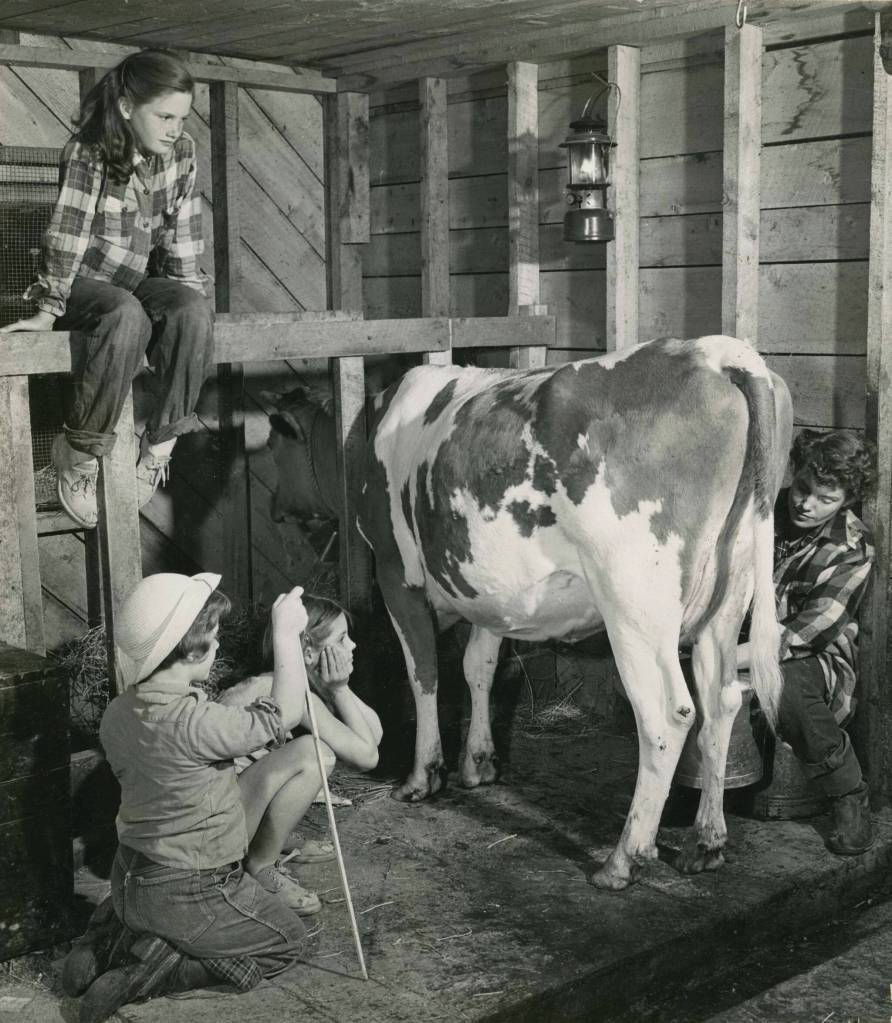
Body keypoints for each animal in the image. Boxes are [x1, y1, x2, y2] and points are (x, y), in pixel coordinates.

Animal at [268, 336, 793, 891]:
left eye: (275, 447)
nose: (275, 509)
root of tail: (715, 352)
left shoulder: (396, 573)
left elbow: (425, 673)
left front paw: (422, 776)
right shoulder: (489, 592)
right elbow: (478, 667)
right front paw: (478, 763)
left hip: (634, 603)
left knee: (667, 715)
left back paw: (623, 859)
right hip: (727, 596)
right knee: (722, 702)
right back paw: (706, 843)